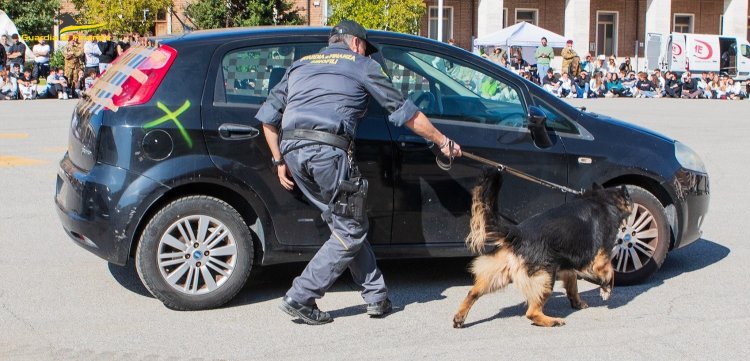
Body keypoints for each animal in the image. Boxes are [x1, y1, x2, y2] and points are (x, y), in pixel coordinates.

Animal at [452, 170, 636, 328]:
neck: (604, 200)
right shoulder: (600, 257)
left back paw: (459, 317)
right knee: (531, 313)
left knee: (472, 293)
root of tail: (518, 233)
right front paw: (606, 289)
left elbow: (573, 285)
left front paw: (577, 302)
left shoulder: (567, 265)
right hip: (546, 277)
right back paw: (552, 321)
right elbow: (609, 272)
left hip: (499, 275)